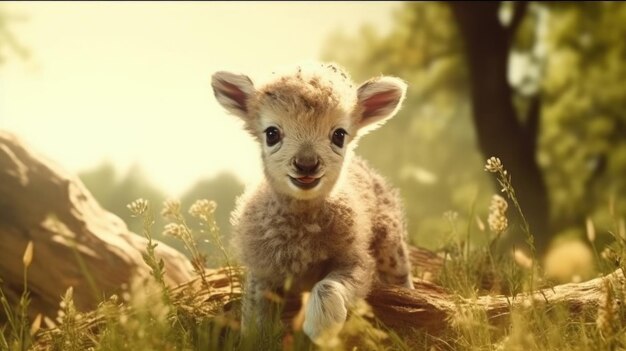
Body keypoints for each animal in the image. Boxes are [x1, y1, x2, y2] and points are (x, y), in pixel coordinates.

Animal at [212, 62, 412, 346]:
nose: (306, 164)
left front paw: (321, 326)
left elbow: (328, 286)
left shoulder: (357, 260)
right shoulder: (261, 271)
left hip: (390, 243)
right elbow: (255, 320)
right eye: (271, 133)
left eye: (339, 135)